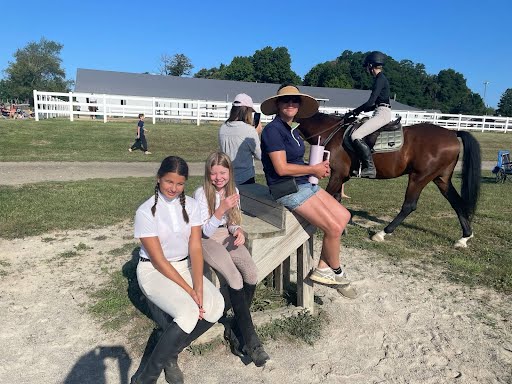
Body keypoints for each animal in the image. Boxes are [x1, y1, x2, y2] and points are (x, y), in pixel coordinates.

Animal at [294, 112, 482, 248]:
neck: (332, 132)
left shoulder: (337, 174)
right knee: (456, 202)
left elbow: (328, 196)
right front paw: (342, 227)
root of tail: (452, 132)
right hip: (441, 179)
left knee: (409, 206)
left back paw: (382, 233)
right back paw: (464, 238)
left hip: (419, 177)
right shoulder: (341, 177)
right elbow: (337, 199)